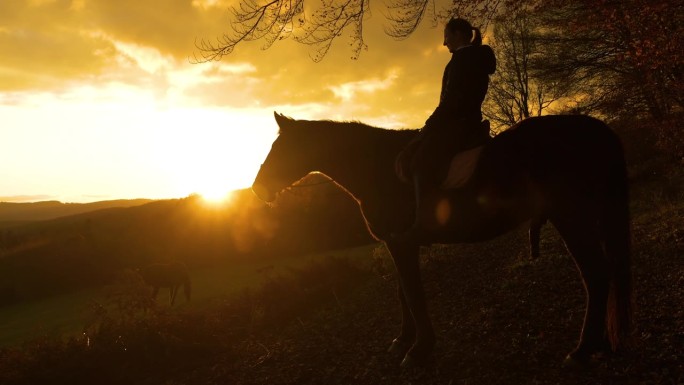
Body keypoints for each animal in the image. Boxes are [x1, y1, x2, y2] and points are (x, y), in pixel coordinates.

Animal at [251, 112, 632, 366]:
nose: (256, 190)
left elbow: (413, 294)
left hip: (571, 216)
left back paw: (583, 349)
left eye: (280, 148)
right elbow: (403, 293)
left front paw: (419, 349)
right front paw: (403, 340)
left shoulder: (402, 243)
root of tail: (593, 128)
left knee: (596, 276)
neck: (378, 167)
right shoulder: (399, 244)